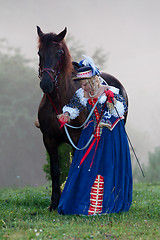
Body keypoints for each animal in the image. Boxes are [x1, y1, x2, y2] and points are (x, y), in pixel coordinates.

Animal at [36, 25, 129, 211]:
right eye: (39, 53)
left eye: (59, 52)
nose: (46, 84)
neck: (59, 101)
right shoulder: (49, 140)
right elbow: (55, 170)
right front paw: (54, 203)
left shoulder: (77, 138)